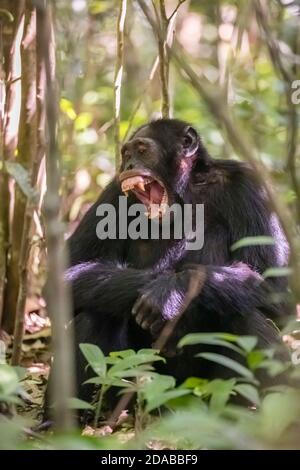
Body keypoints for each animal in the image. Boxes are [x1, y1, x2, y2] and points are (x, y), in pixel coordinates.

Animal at [49, 119, 290, 410]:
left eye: (142, 150)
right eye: (126, 154)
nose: (128, 165)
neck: (185, 192)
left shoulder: (249, 186)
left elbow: (273, 287)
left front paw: (171, 291)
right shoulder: (112, 194)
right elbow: (67, 274)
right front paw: (155, 287)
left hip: (198, 389)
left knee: (245, 313)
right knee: (97, 311)